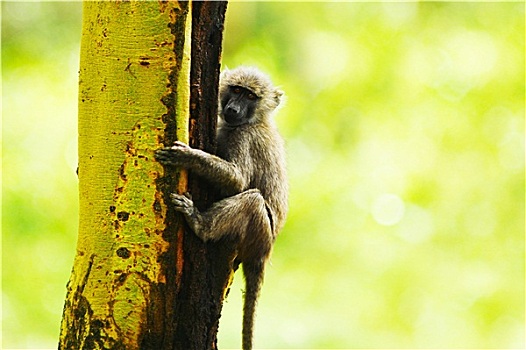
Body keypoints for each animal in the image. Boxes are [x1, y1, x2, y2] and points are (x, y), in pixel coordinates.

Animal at [155, 66, 290, 350]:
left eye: (250, 96)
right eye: (236, 90)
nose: (233, 109)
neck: (253, 121)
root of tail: (266, 252)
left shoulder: (244, 137)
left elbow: (238, 181)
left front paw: (188, 156)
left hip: (259, 234)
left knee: (253, 201)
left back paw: (200, 224)